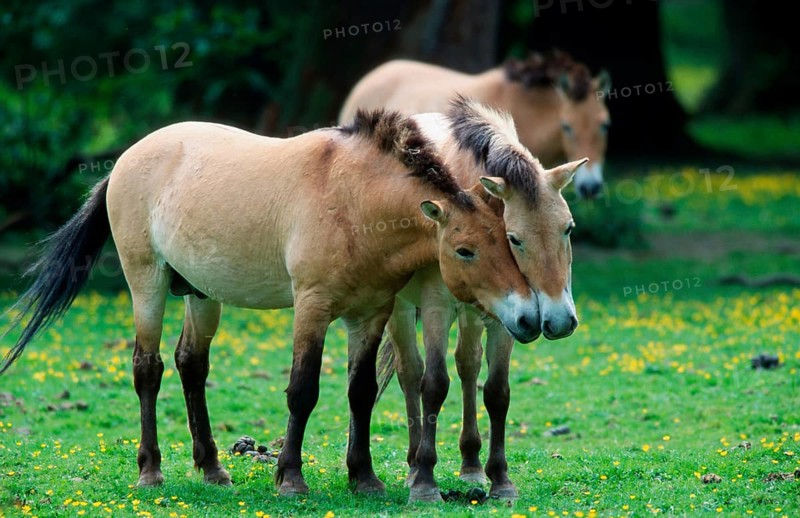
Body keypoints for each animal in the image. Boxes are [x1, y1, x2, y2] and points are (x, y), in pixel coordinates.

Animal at [0, 109, 546, 497]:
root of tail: (124, 161)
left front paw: (364, 478)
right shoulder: (312, 307)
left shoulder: (369, 314)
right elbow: (302, 390)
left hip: (201, 295)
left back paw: (213, 468)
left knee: (190, 365)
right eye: (465, 250)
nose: (526, 317)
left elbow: (361, 392)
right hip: (146, 284)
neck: (355, 200)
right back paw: (150, 471)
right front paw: (290, 478)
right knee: (147, 368)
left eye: (509, 241)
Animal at [351, 97, 586, 502]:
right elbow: (433, 384)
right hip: (401, 310)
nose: (559, 321)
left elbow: (496, 391)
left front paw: (500, 480)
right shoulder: (436, 307)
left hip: (475, 316)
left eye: (568, 229)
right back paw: (413, 466)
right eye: (514, 238)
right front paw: (424, 482)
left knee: (468, 366)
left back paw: (472, 465)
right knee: (411, 373)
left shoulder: (511, 317)